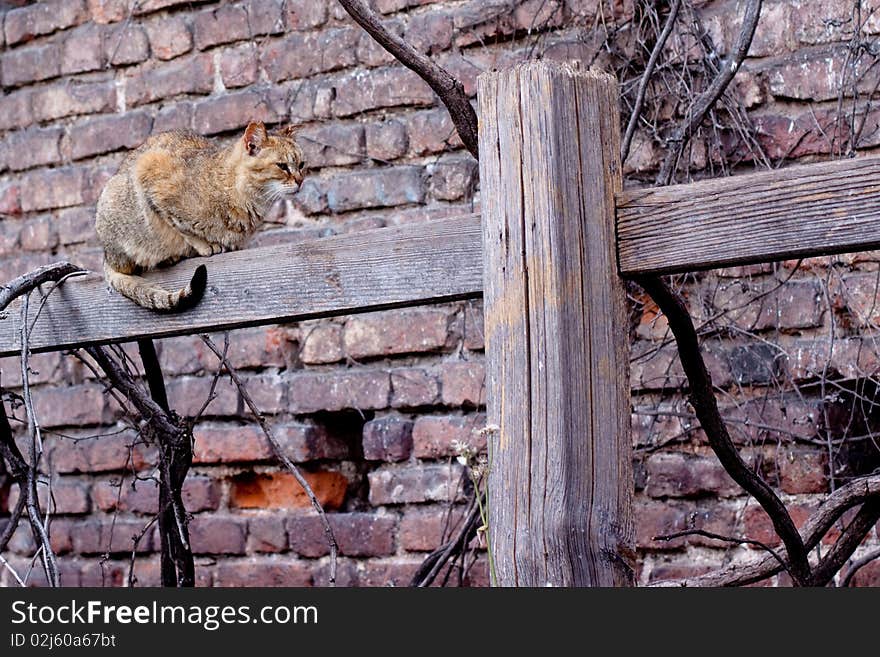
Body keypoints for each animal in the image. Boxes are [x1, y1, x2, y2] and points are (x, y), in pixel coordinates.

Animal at [96, 121, 306, 312]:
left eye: (302, 165)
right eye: (282, 166)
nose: (300, 181)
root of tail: (106, 256)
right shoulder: (151, 173)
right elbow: (182, 227)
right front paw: (206, 245)